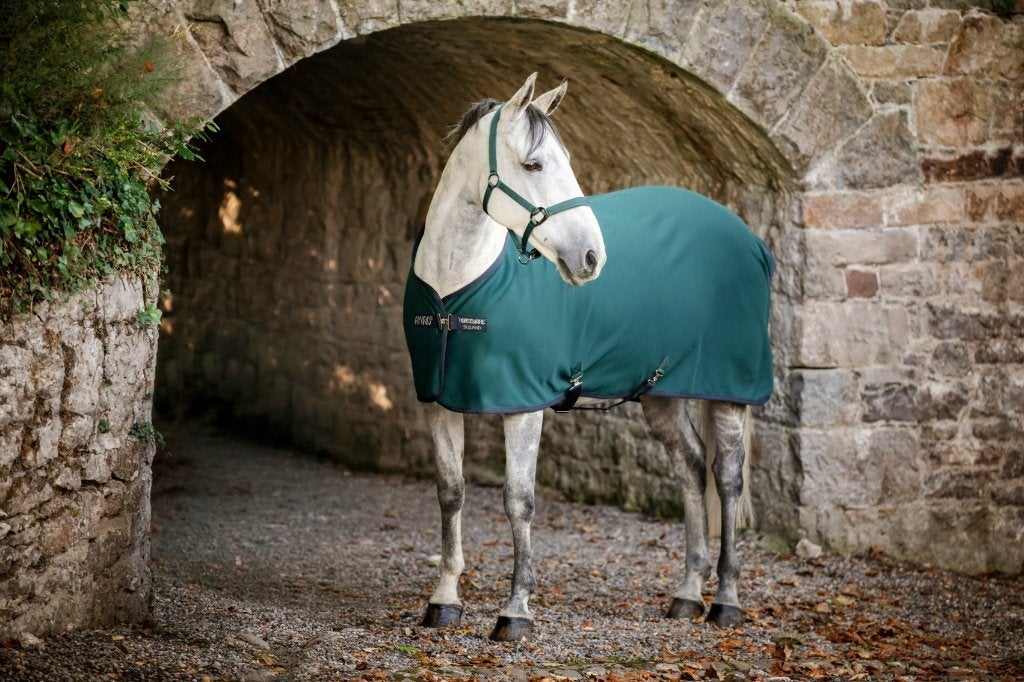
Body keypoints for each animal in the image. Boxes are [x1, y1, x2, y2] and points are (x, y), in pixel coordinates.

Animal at [402, 73, 774, 642]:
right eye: (534, 165)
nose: (592, 258)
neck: (456, 289)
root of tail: (750, 239)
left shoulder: (523, 406)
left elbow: (519, 500)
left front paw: (515, 611)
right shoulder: (438, 402)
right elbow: (450, 493)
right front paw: (444, 601)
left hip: (728, 391)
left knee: (726, 478)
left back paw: (726, 601)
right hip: (660, 392)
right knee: (690, 467)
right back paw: (687, 594)